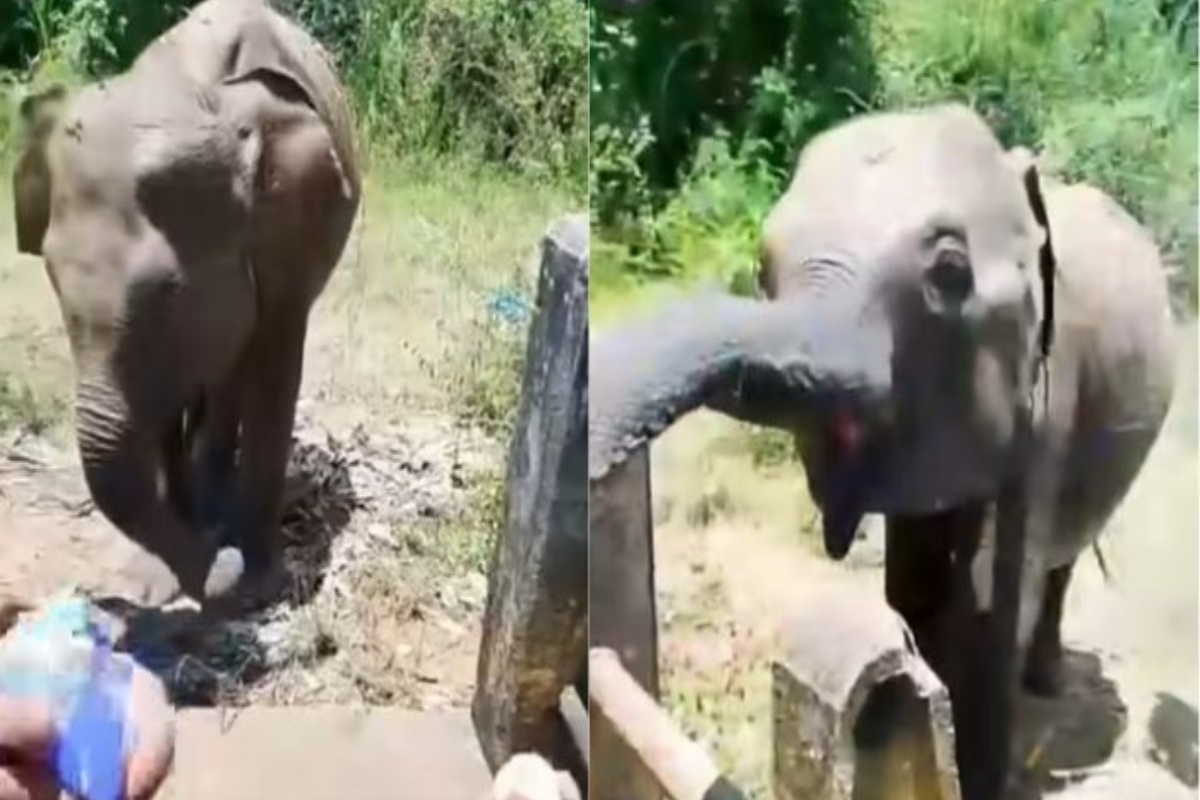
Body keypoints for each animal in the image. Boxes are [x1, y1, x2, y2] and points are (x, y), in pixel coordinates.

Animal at [11, 0, 361, 609]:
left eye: (168, 290)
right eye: (52, 278)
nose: (222, 564)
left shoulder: (290, 248)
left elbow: (275, 369)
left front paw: (256, 584)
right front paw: (160, 581)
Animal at [589, 104, 1174, 798]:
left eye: (949, 272)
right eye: (762, 269)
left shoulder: (1049, 401)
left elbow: (991, 600)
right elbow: (914, 583)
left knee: (1063, 559)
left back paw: (1049, 683)